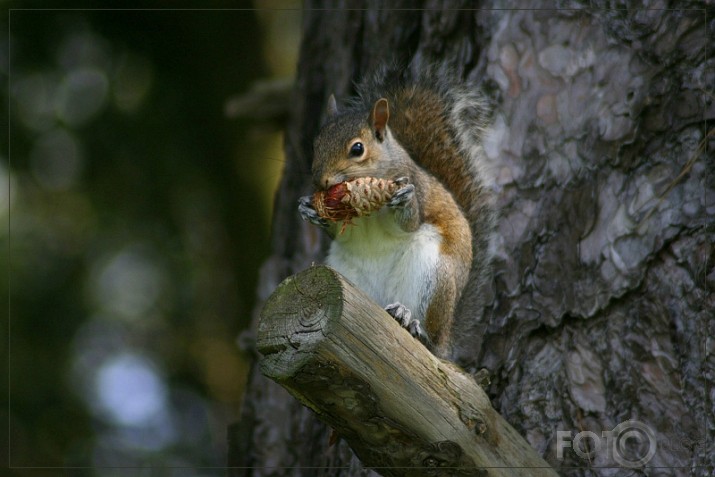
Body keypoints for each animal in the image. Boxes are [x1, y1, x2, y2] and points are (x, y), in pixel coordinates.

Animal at [300, 68, 496, 356]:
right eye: (316, 144)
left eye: (357, 149)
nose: (320, 181)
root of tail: (446, 340)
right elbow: (338, 233)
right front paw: (308, 209)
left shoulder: (416, 184)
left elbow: (410, 221)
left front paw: (405, 200)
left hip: (432, 275)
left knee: (428, 337)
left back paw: (411, 321)